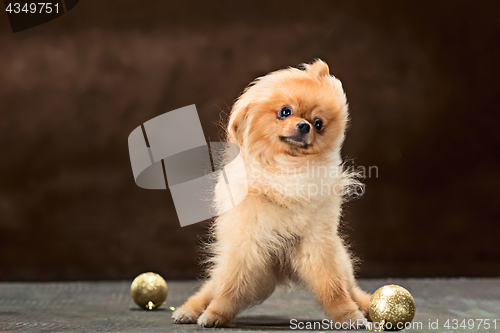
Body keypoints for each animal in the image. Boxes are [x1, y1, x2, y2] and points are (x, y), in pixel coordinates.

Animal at [172, 59, 372, 326]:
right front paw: (216, 314)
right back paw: (189, 310)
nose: (304, 125)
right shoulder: (246, 243)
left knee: (352, 289)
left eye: (318, 124)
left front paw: (349, 316)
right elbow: (230, 287)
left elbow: (332, 287)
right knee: (212, 287)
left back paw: (367, 306)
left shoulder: (318, 244)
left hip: (341, 261)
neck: (286, 169)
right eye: (285, 112)